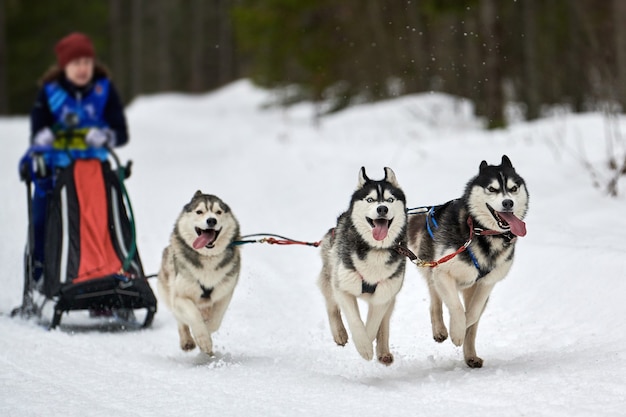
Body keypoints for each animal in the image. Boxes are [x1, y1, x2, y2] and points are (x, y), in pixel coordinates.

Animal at [157, 190, 240, 352]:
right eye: (199, 211)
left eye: (218, 212)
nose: (211, 220)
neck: (208, 258)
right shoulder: (180, 297)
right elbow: (193, 315)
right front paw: (203, 339)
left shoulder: (225, 293)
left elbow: (215, 320)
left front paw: (207, 330)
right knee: (180, 320)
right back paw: (187, 340)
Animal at [316, 167, 404, 364]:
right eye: (370, 199)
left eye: (390, 200)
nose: (382, 208)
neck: (375, 250)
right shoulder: (343, 288)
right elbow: (355, 321)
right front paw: (363, 346)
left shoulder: (383, 296)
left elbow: (373, 325)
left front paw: (367, 344)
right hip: (330, 276)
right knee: (331, 306)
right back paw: (340, 333)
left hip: (392, 294)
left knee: (384, 323)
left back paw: (383, 351)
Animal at [404, 155, 528, 368]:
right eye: (492, 189)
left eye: (513, 188)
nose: (508, 203)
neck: (480, 232)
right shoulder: (443, 272)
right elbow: (456, 307)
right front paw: (456, 331)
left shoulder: (487, 283)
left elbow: (472, 313)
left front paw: (462, 328)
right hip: (432, 268)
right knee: (435, 299)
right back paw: (440, 329)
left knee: (472, 321)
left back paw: (470, 355)